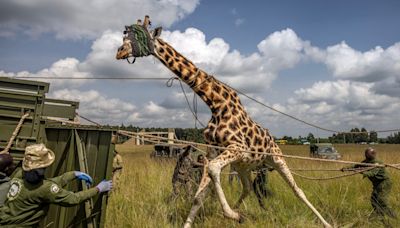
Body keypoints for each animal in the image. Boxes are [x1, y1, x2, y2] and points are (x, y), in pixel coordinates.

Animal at [115, 16, 332, 228]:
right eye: (126, 33)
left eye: (140, 35)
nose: (119, 52)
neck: (215, 103)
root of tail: (272, 138)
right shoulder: (213, 151)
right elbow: (199, 194)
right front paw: (232, 215)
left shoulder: (237, 147)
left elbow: (211, 171)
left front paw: (231, 215)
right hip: (243, 166)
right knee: (247, 187)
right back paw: (240, 212)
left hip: (276, 159)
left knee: (297, 190)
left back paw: (326, 223)